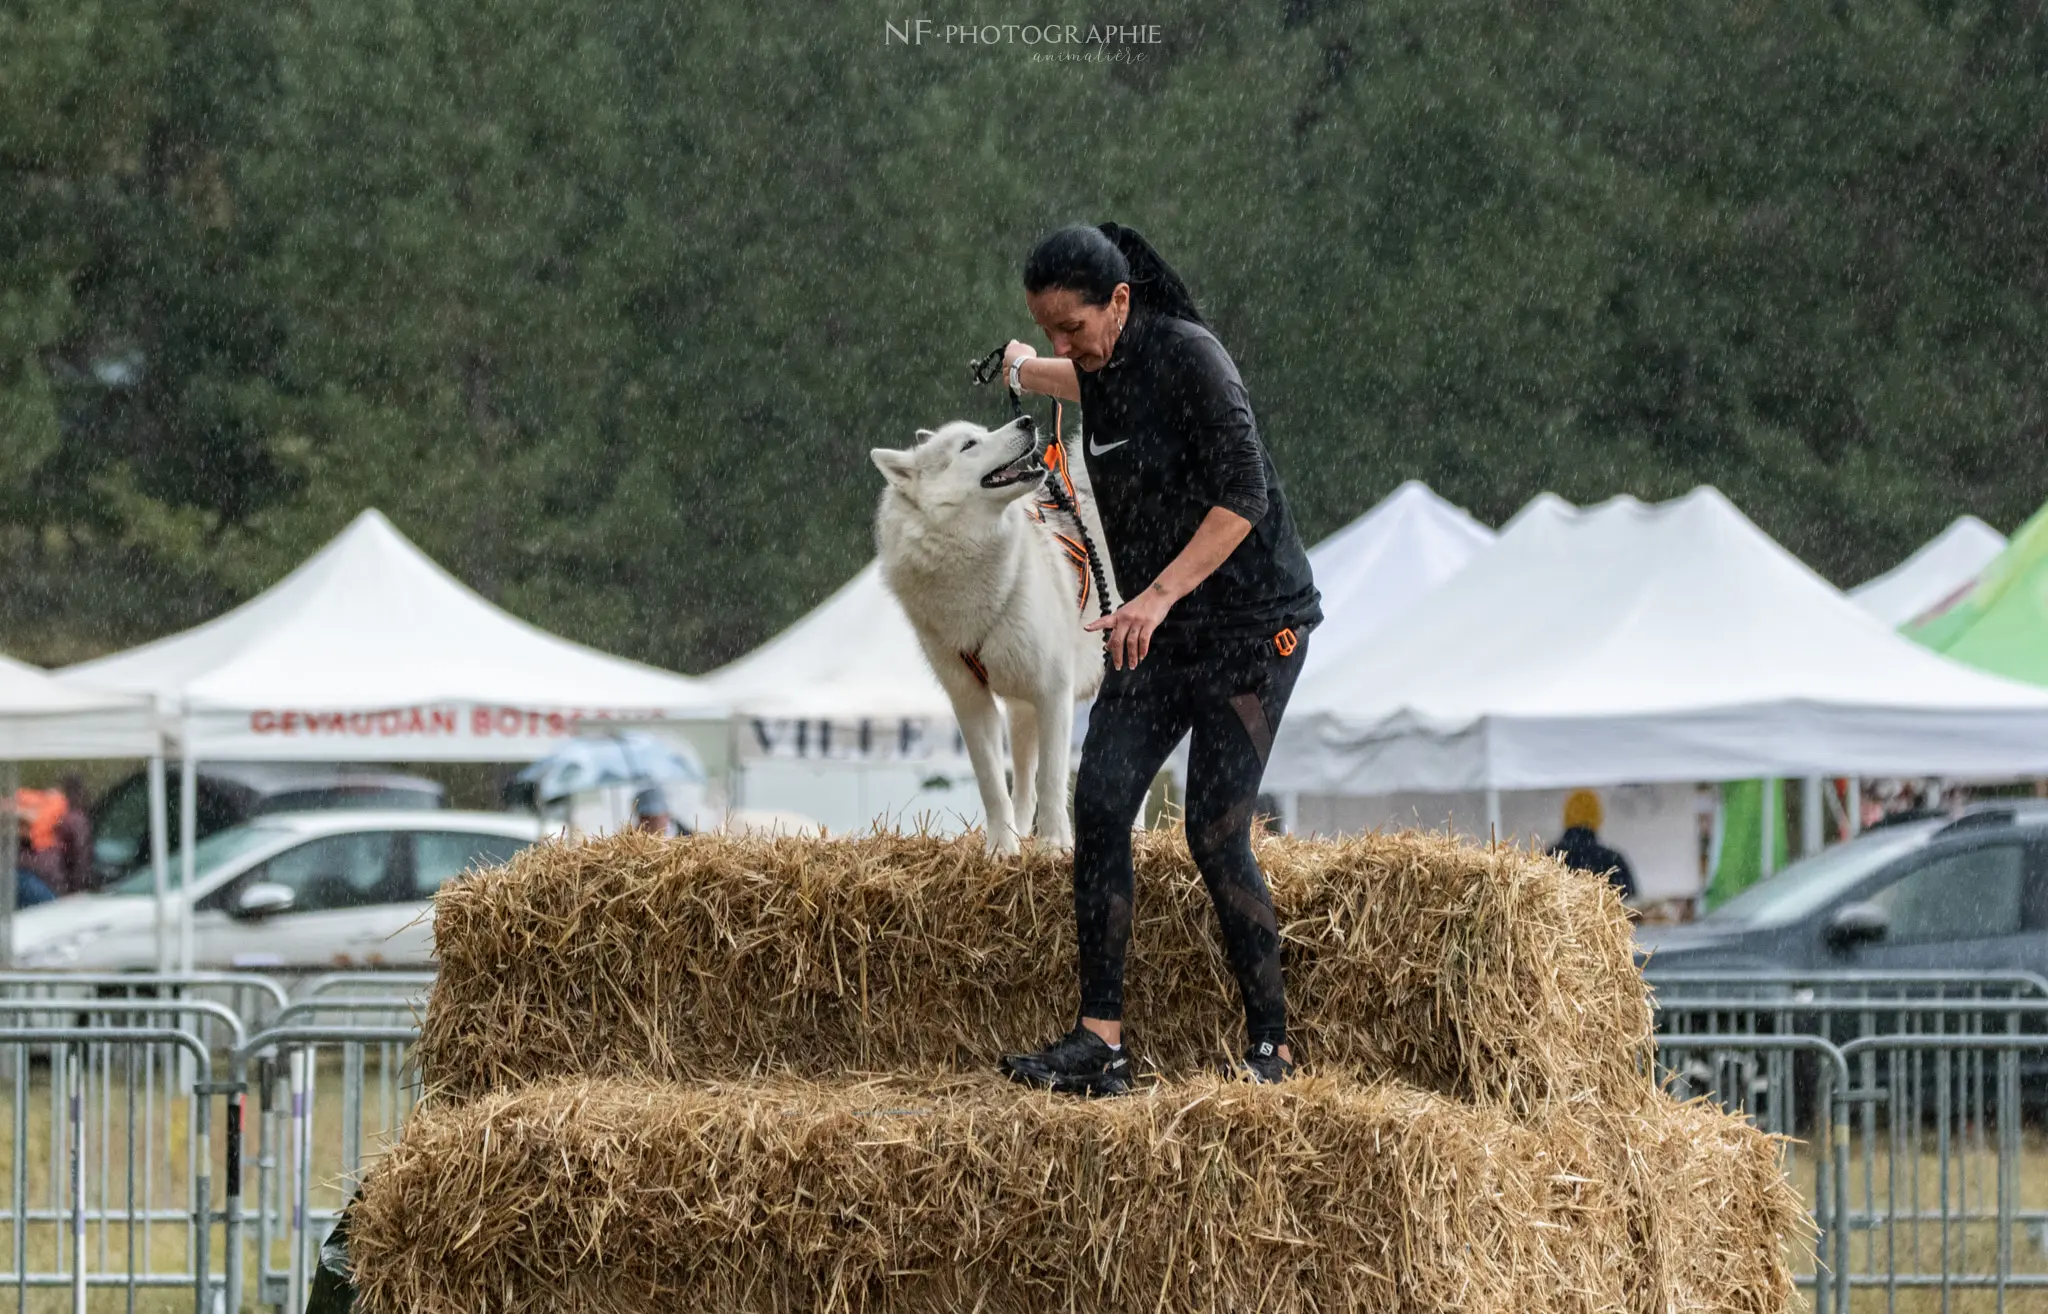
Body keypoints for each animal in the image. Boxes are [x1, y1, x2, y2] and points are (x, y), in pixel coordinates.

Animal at [872, 413, 1114, 855]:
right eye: (969, 445)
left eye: (981, 432)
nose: (1027, 420)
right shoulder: (970, 701)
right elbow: (993, 786)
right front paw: (1002, 849)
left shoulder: (1055, 691)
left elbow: (1052, 780)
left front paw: (1054, 846)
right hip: (1021, 709)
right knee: (1023, 788)